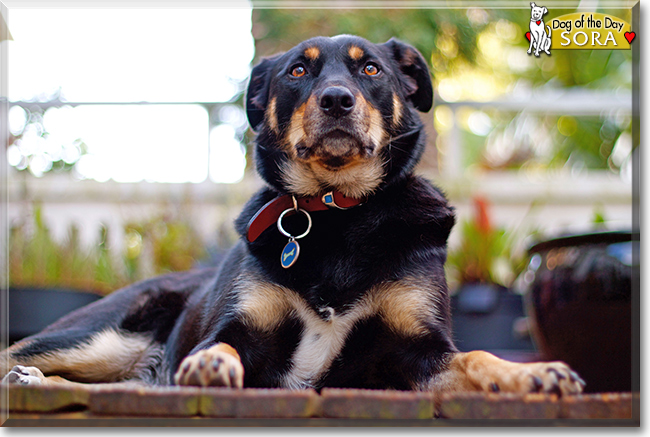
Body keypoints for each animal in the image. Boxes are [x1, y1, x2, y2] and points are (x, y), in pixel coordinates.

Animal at [2, 35, 584, 406]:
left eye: (371, 69)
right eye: (297, 71)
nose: (337, 100)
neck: (337, 214)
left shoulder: (417, 354)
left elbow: (475, 356)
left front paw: (531, 374)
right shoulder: (238, 328)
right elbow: (219, 346)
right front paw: (211, 367)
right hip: (102, 336)